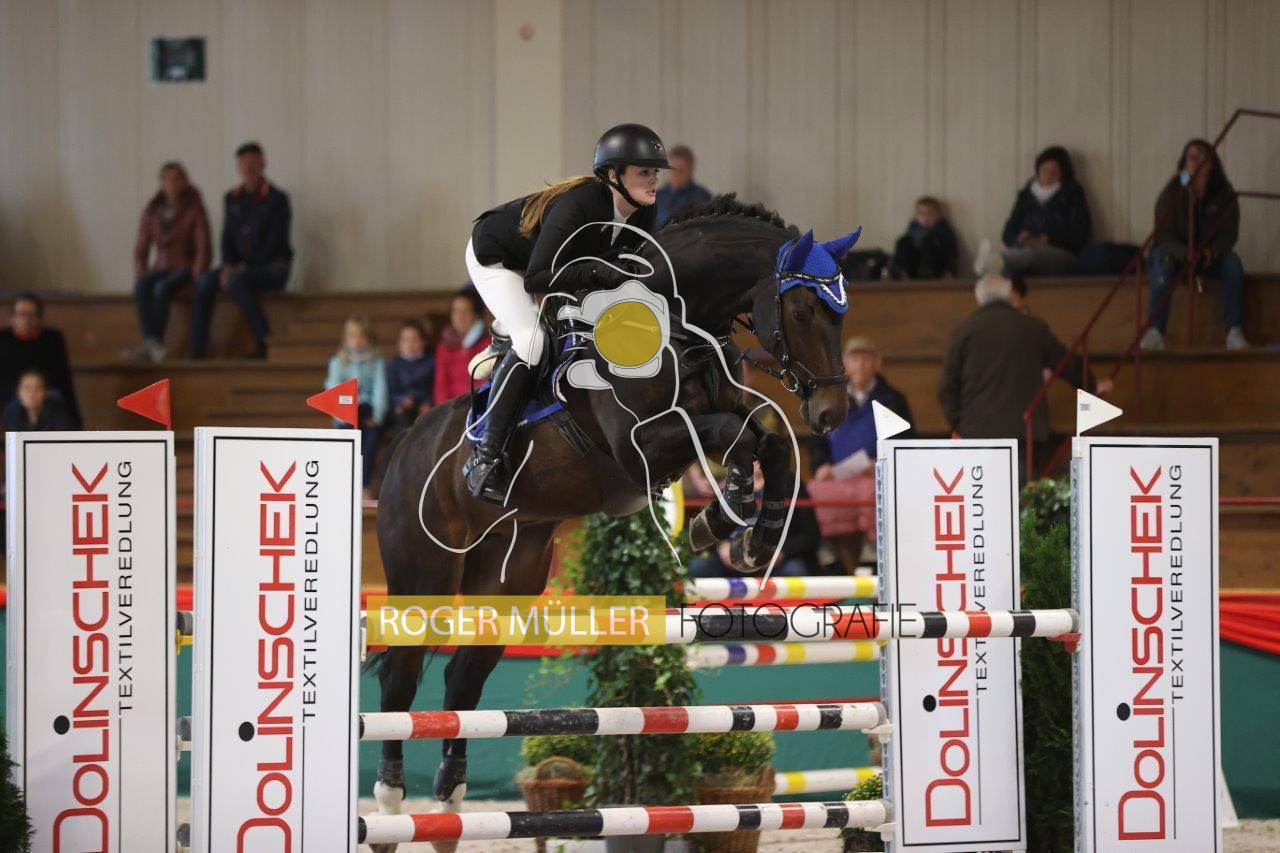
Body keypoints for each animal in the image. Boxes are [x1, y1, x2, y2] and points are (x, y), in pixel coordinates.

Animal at [370, 196, 858, 851]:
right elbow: (737, 438)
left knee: (463, 676)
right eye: (803, 309)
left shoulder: (715, 414)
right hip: (424, 567)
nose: (831, 413)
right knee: (400, 675)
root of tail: (400, 449)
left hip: (511, 573)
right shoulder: (640, 446)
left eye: (840, 313)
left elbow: (768, 438)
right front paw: (724, 515)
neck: (673, 324)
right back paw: (392, 804)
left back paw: (449, 801)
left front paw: (746, 534)